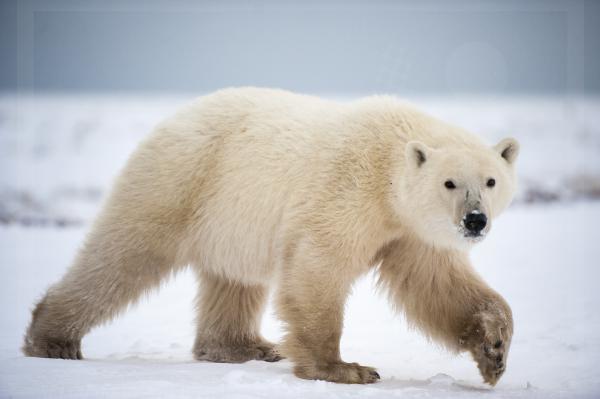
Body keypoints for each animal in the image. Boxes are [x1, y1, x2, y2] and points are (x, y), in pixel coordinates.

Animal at [25, 87, 516, 388]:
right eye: (450, 183)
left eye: (490, 181)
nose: (475, 221)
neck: (386, 165)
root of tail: (174, 116)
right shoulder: (349, 191)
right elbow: (319, 266)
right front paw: (344, 369)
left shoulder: (411, 230)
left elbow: (436, 286)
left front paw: (494, 350)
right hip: (180, 180)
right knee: (122, 256)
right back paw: (52, 339)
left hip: (227, 216)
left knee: (233, 280)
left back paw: (244, 346)